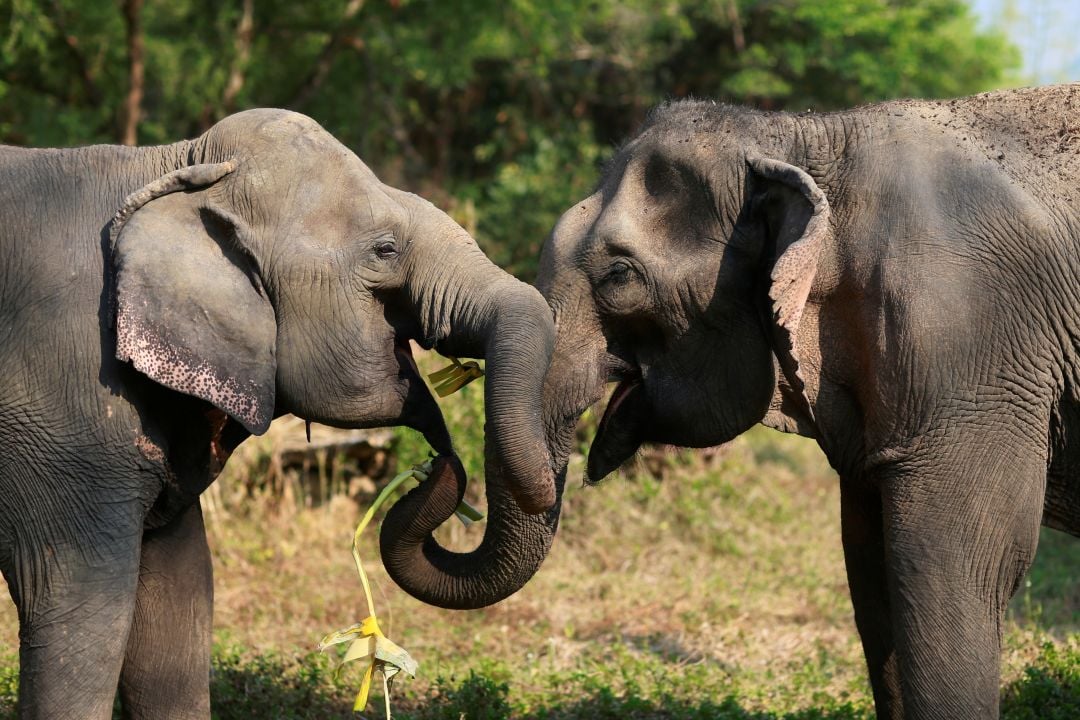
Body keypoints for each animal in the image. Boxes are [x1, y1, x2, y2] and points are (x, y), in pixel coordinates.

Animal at [0, 108, 557, 719]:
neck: (174, 164)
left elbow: (178, 606)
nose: (439, 461)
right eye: (385, 250)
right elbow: (81, 611)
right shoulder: (62, 403)